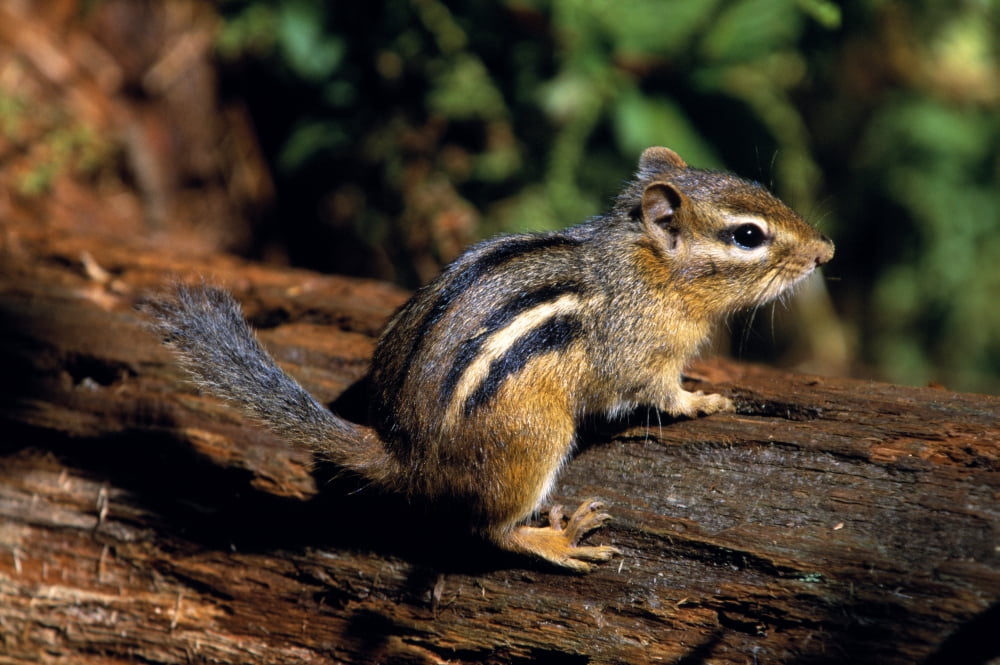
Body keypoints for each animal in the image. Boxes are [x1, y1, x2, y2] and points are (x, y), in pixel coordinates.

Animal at [145, 146, 834, 572]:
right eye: (748, 236)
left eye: (761, 189)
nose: (826, 250)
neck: (649, 267)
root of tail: (404, 452)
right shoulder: (640, 354)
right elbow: (660, 394)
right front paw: (705, 399)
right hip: (536, 439)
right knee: (489, 531)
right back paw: (560, 539)